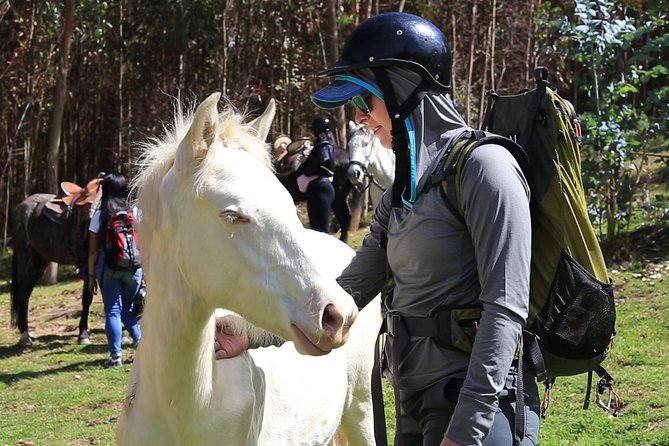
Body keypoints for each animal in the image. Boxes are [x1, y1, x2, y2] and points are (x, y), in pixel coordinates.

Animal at [10, 178, 102, 349]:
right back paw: (25, 337)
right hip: (25, 259)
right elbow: (87, 299)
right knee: (23, 294)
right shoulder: (89, 263)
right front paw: (83, 335)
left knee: (26, 292)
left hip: (40, 262)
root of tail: (21, 207)